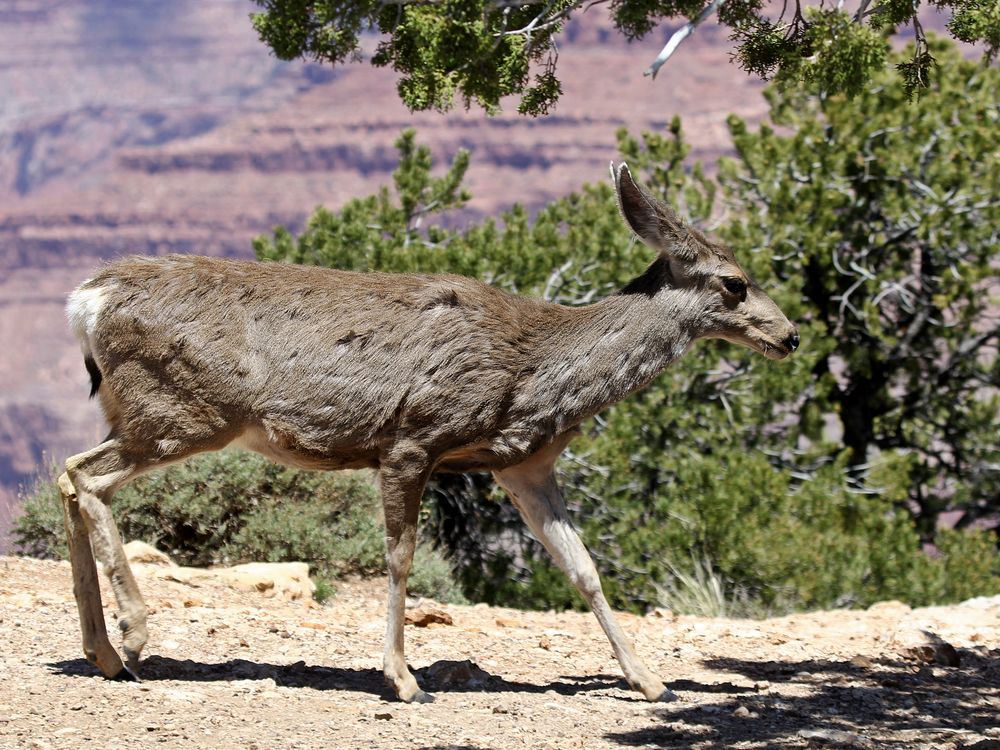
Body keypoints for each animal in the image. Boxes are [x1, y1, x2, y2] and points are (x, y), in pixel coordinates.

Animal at [60, 164, 796, 704]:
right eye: (735, 283)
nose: (789, 335)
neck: (539, 366)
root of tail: (87, 299)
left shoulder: (523, 464)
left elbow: (583, 568)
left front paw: (649, 681)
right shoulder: (413, 438)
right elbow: (401, 558)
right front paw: (403, 679)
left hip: (152, 412)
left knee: (71, 478)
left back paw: (102, 653)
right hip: (183, 410)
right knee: (83, 475)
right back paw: (133, 634)